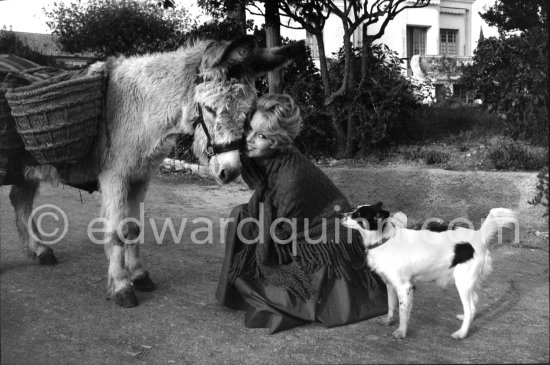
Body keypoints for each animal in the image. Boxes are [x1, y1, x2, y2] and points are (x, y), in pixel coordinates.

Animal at [342, 203, 520, 340]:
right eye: (353, 210)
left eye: (357, 214)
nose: (341, 214)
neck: (385, 240)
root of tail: (479, 235)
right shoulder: (390, 284)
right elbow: (391, 305)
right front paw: (388, 321)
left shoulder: (404, 287)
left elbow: (403, 311)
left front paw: (401, 332)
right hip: (467, 281)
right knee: (474, 302)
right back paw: (465, 320)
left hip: (462, 282)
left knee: (469, 307)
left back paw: (461, 333)